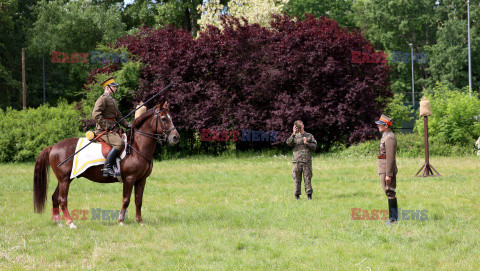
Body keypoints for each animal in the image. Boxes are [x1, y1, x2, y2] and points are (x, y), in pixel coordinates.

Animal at [33, 102, 180, 230]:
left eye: (171, 117)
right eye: (163, 118)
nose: (175, 137)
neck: (137, 146)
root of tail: (53, 147)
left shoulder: (141, 180)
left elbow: (138, 200)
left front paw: (140, 221)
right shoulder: (129, 179)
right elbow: (126, 199)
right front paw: (121, 221)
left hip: (65, 179)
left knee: (54, 197)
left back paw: (58, 222)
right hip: (64, 180)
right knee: (62, 200)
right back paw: (70, 223)